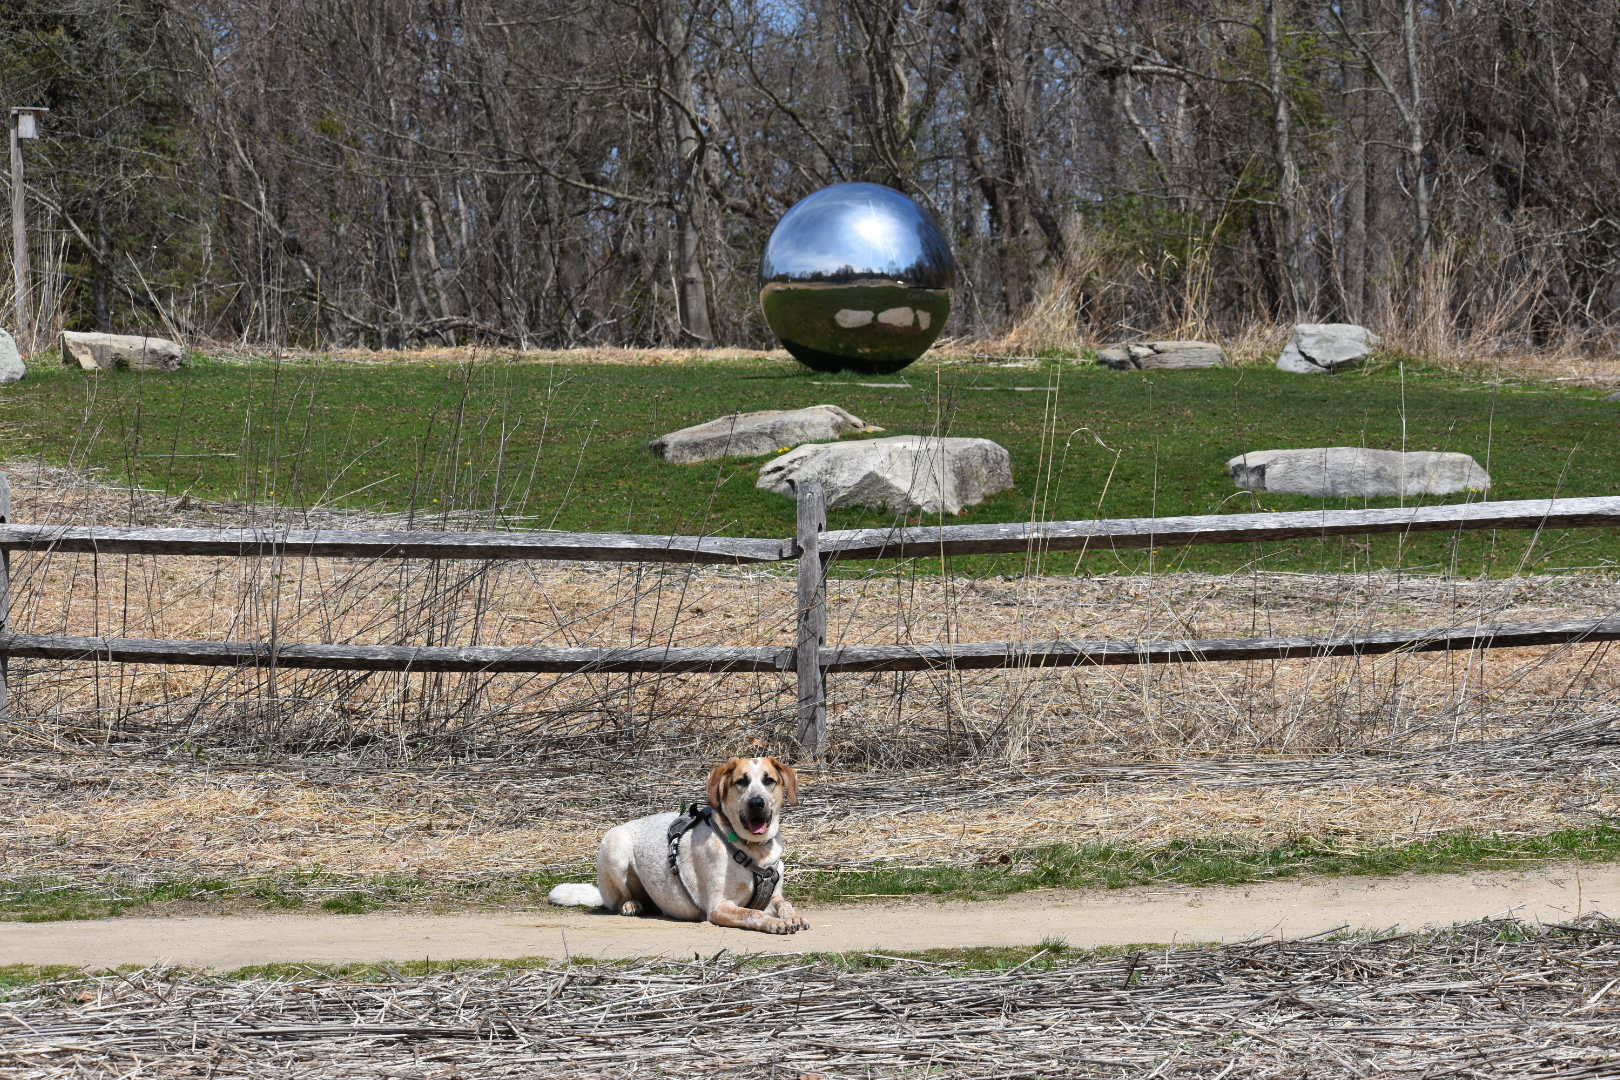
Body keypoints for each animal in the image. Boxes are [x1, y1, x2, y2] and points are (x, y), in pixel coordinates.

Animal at [547, 757, 810, 932]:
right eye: (741, 782)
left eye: (769, 780)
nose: (757, 802)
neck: (753, 848)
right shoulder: (719, 907)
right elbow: (753, 914)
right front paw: (775, 923)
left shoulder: (773, 895)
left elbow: (785, 903)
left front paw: (792, 917)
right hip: (615, 848)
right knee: (621, 898)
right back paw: (631, 904)